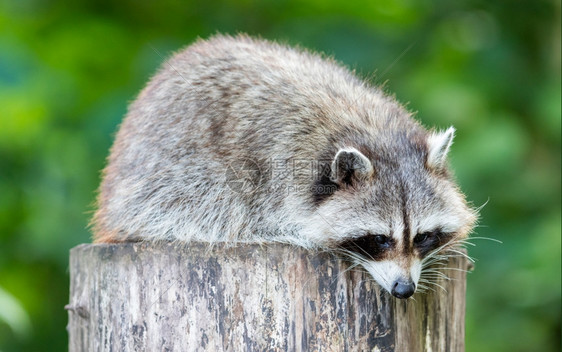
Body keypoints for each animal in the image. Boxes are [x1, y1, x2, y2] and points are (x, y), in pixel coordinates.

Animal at [91, 35, 472, 300]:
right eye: (379, 239)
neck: (373, 134)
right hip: (166, 173)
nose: (404, 289)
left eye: (423, 236)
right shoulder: (273, 172)